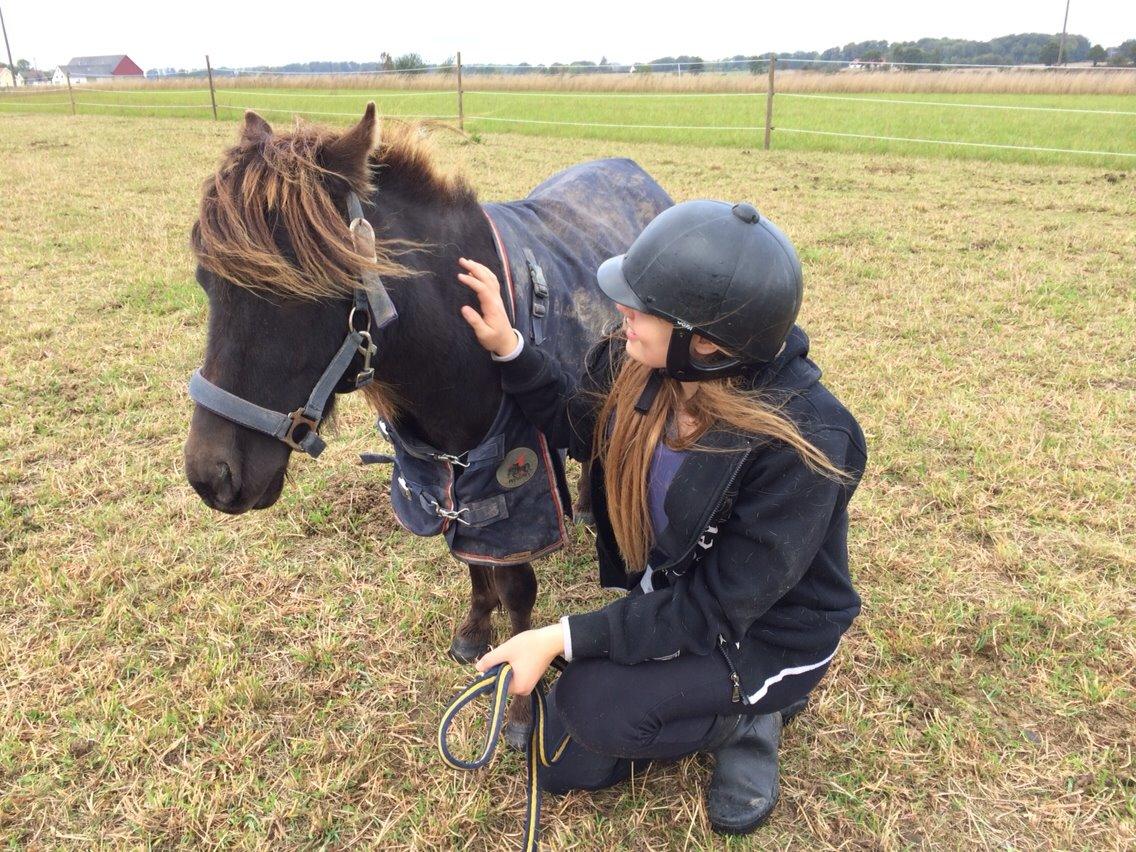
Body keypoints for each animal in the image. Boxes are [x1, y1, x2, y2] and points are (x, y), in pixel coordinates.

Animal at [182, 105, 595, 745]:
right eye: (207, 282)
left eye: (301, 291)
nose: (209, 476)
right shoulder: (448, 483)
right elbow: (472, 566)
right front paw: (473, 636)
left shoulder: (515, 496)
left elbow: (517, 591)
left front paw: (521, 707)